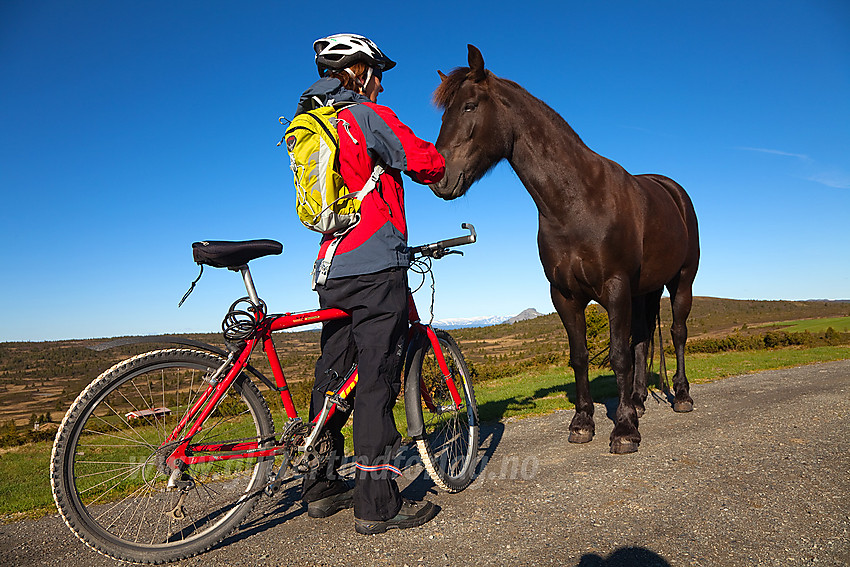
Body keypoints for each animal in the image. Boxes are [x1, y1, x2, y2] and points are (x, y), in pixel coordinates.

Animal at [428, 46, 700, 458]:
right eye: (445, 113)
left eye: (470, 106)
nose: (438, 178)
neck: (576, 202)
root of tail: (673, 191)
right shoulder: (565, 295)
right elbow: (581, 356)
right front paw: (584, 422)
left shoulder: (616, 288)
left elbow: (617, 355)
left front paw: (623, 430)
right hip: (646, 290)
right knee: (642, 340)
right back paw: (637, 401)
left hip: (681, 282)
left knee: (678, 332)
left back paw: (680, 397)